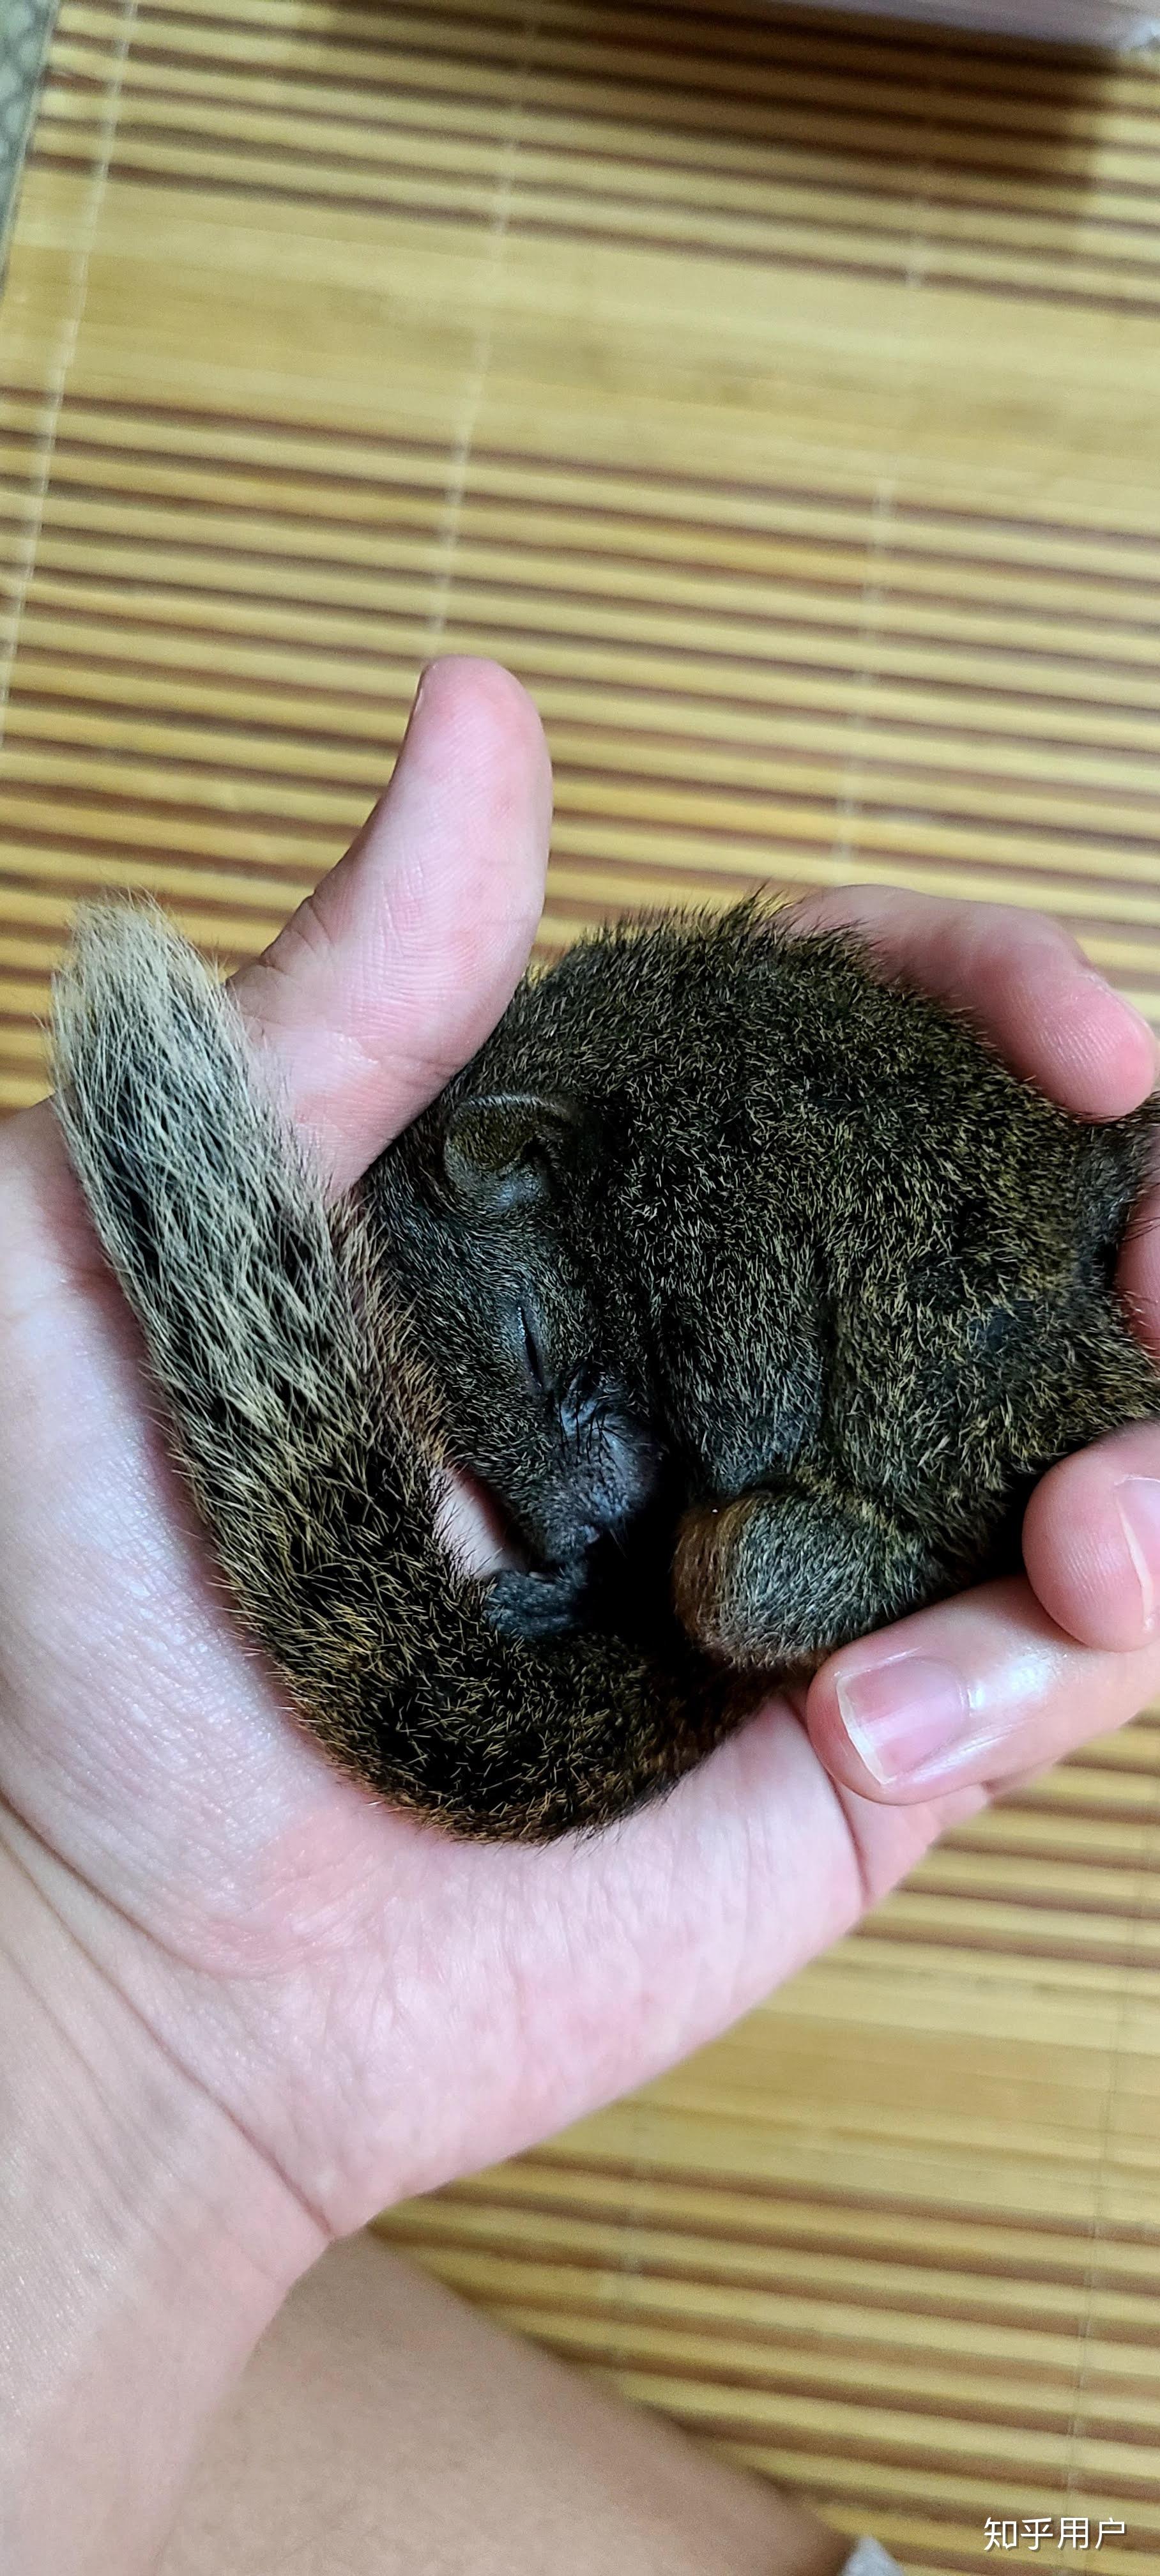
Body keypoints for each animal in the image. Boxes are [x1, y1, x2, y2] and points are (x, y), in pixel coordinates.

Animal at [50, 896, 1159, 1844]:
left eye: (536, 1348)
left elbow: (753, 1420)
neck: (621, 1072)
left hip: (766, 1566)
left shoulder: (719, 1223)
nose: (584, 1537)